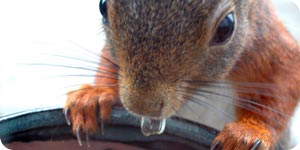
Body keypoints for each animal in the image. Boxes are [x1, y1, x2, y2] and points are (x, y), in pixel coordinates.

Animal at [63, 0, 300, 149]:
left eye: (226, 27)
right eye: (102, 6)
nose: (142, 105)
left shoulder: (266, 45)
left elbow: (285, 79)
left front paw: (248, 133)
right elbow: (109, 61)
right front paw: (92, 98)